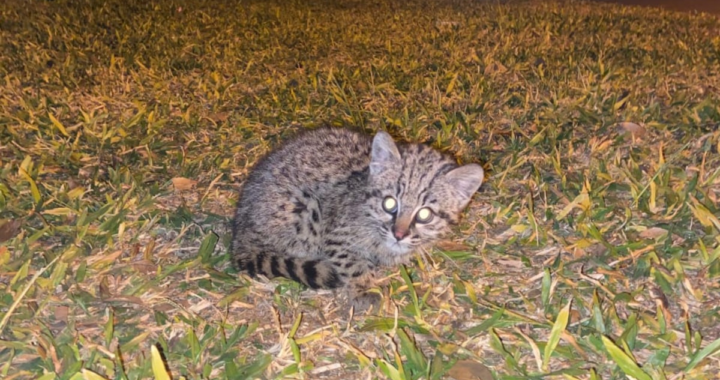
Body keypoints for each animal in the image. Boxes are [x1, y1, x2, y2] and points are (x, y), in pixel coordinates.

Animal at [231, 129, 486, 308]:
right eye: (389, 203)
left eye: (425, 214)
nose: (399, 234)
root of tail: (239, 234)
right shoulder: (335, 235)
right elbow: (351, 263)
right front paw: (365, 290)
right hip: (304, 208)